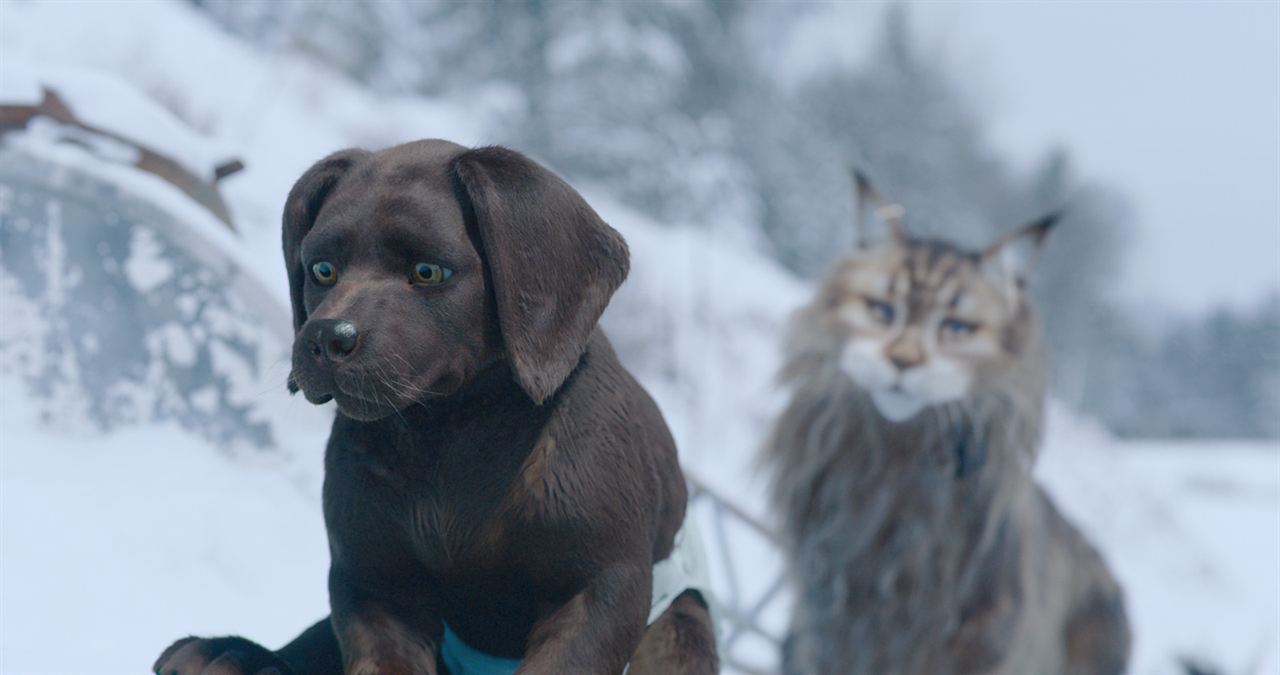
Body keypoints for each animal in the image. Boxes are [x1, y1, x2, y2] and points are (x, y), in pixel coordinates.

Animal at [153, 140, 716, 671]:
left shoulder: (596, 590)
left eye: (427, 272)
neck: (449, 429)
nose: (325, 338)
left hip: (676, 628)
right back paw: (230, 654)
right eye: (322, 270)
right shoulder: (376, 589)